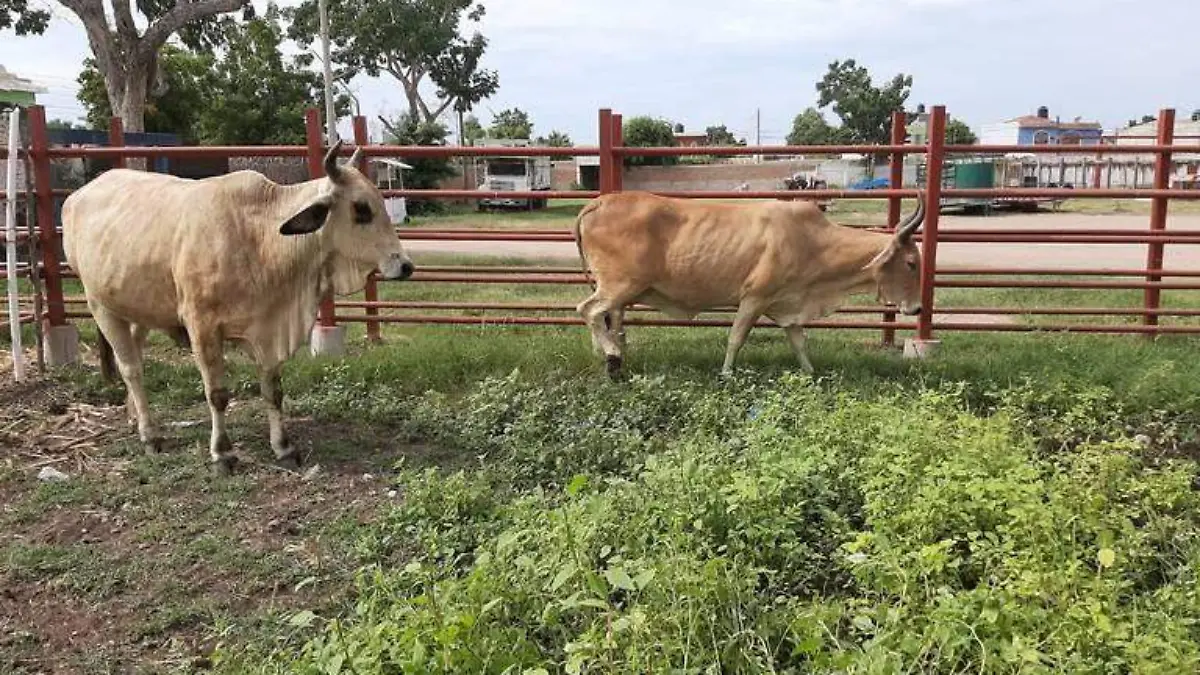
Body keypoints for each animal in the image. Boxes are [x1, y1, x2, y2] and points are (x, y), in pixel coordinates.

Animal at [61, 140, 414, 475]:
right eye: (361, 209)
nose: (406, 266)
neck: (260, 238)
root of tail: (77, 195)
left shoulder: (267, 329)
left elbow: (273, 391)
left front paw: (283, 447)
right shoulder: (202, 327)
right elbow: (217, 394)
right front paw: (222, 454)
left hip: (138, 307)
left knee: (134, 356)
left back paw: (136, 418)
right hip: (100, 305)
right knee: (131, 368)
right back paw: (150, 435)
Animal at [572, 191, 925, 378]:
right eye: (911, 263)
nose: (918, 308)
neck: (812, 241)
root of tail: (599, 202)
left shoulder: (787, 305)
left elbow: (799, 343)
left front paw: (810, 373)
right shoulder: (754, 298)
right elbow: (736, 339)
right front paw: (727, 373)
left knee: (607, 319)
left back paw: (614, 360)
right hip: (620, 285)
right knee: (588, 310)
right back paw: (612, 355)